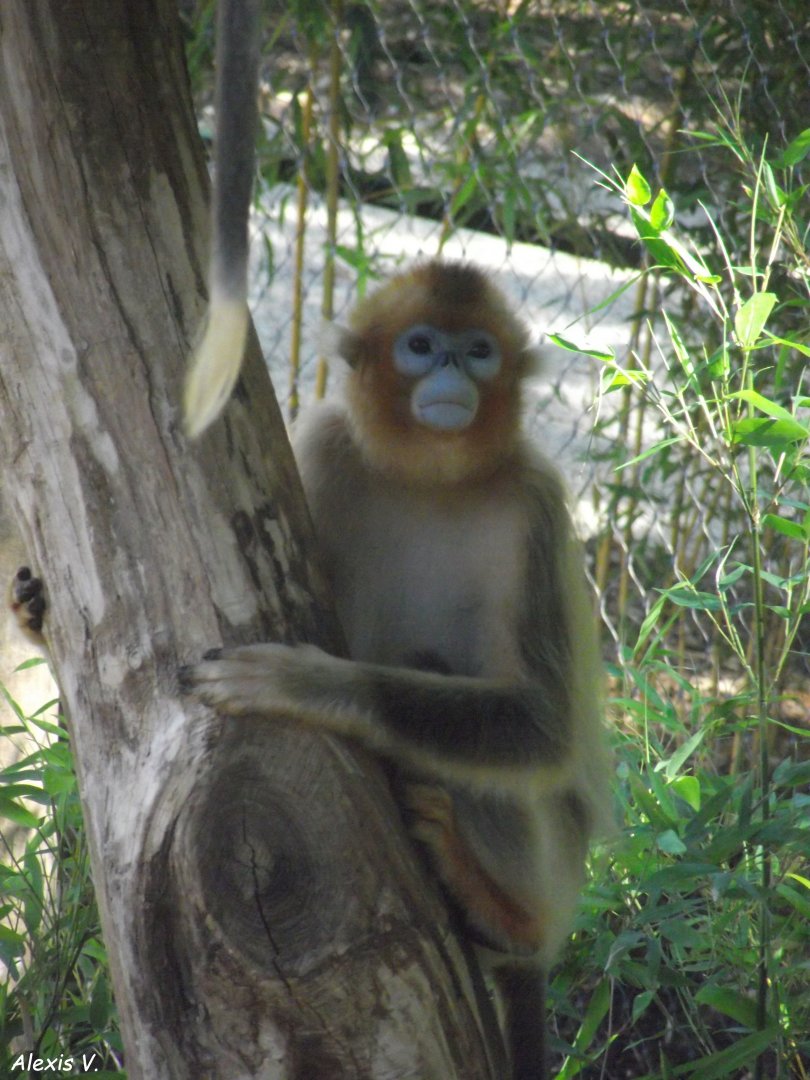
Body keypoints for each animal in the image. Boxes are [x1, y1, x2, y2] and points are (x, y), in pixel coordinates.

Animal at [181, 259, 614, 1080]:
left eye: (478, 350)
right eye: (420, 345)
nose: (451, 368)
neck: (434, 480)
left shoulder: (538, 501)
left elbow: (541, 727)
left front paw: (307, 686)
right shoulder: (324, 443)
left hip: (561, 870)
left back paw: (501, 915)